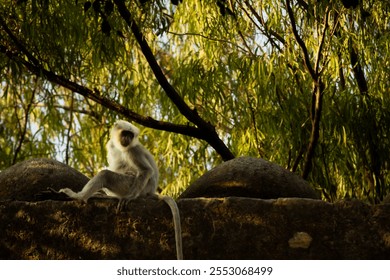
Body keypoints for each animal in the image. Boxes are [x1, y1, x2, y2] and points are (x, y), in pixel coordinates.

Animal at [58, 120, 184, 260]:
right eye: (125, 133)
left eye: (130, 135)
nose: (127, 139)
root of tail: (150, 191)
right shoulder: (111, 145)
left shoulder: (133, 151)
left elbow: (146, 170)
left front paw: (128, 198)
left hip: (130, 185)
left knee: (105, 174)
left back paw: (79, 196)